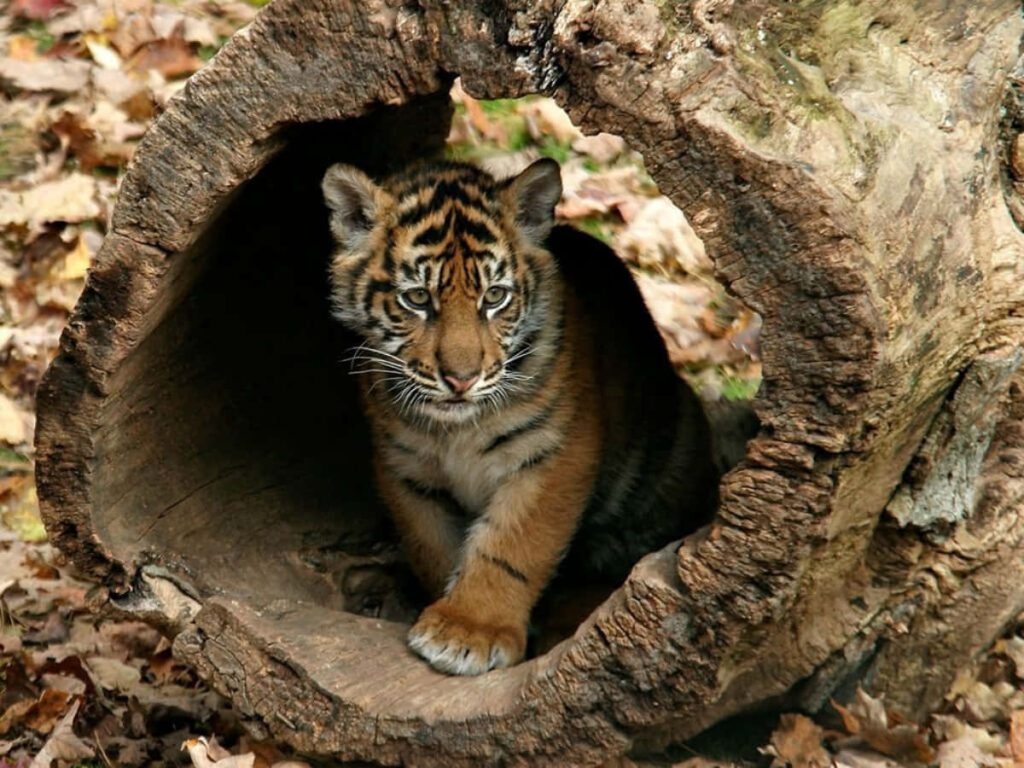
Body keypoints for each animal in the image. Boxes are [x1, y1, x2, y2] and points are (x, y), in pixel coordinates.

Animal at [322, 158, 718, 676]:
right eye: (417, 299)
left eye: (494, 297)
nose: (461, 379)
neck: (456, 428)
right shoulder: (404, 467)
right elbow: (434, 546)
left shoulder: (555, 455)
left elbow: (512, 547)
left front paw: (470, 630)